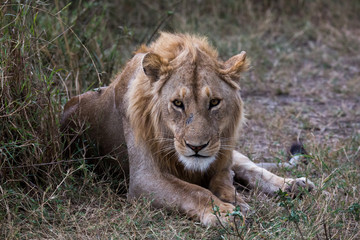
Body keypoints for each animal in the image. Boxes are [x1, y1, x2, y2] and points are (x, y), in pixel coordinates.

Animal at [62, 32, 316, 226]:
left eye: (214, 102)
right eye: (177, 103)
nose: (197, 147)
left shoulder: (221, 156)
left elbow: (223, 179)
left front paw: (235, 201)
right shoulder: (144, 178)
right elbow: (194, 191)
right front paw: (225, 212)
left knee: (249, 167)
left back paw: (294, 185)